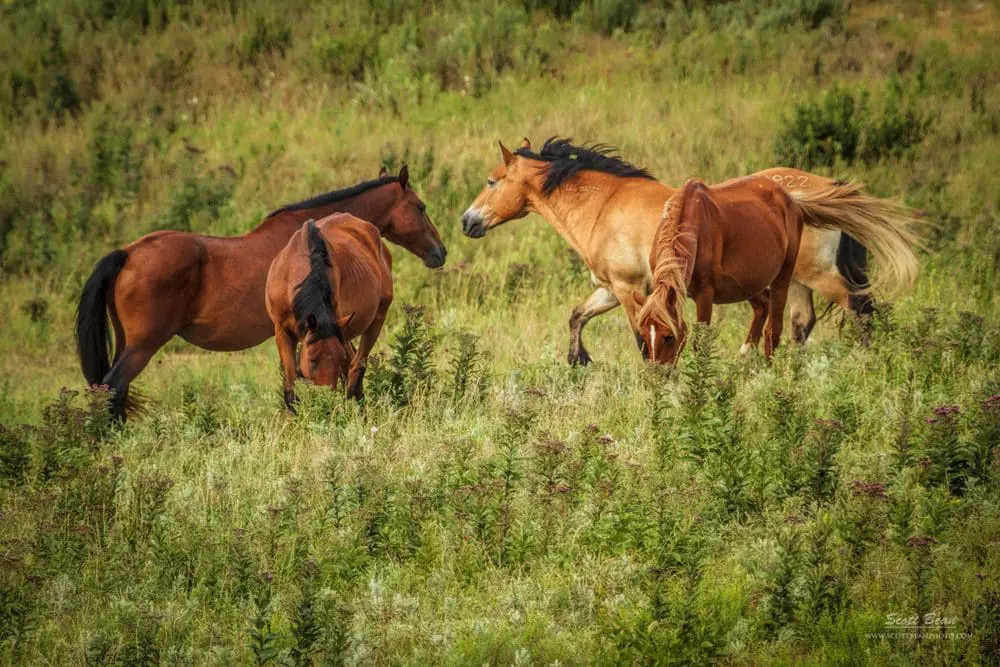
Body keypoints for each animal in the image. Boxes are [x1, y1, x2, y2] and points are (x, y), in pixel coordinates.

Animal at [264, 217, 392, 410]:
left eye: (338, 358)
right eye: (312, 360)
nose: (327, 400)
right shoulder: (282, 332)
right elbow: (290, 392)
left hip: (377, 319)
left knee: (356, 367)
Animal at [632, 177, 804, 366]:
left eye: (669, 336)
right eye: (643, 336)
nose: (657, 373)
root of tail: (788, 199)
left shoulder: (705, 295)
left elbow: (700, 345)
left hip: (782, 278)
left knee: (773, 331)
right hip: (748, 284)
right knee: (763, 306)